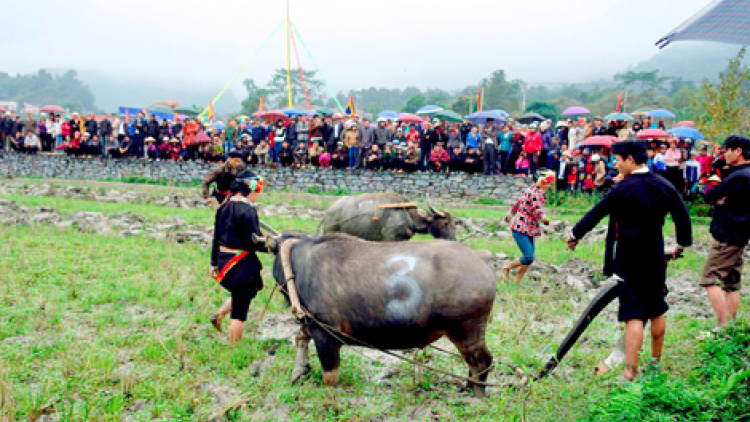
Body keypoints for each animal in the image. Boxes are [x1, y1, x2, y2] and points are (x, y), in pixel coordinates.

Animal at [266, 232, 500, 398]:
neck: (300, 267)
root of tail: (480, 258)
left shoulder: (325, 333)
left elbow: (330, 377)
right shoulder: (309, 323)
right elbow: (300, 337)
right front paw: (298, 372)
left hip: (466, 329)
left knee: (481, 361)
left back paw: (476, 395)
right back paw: (467, 388)